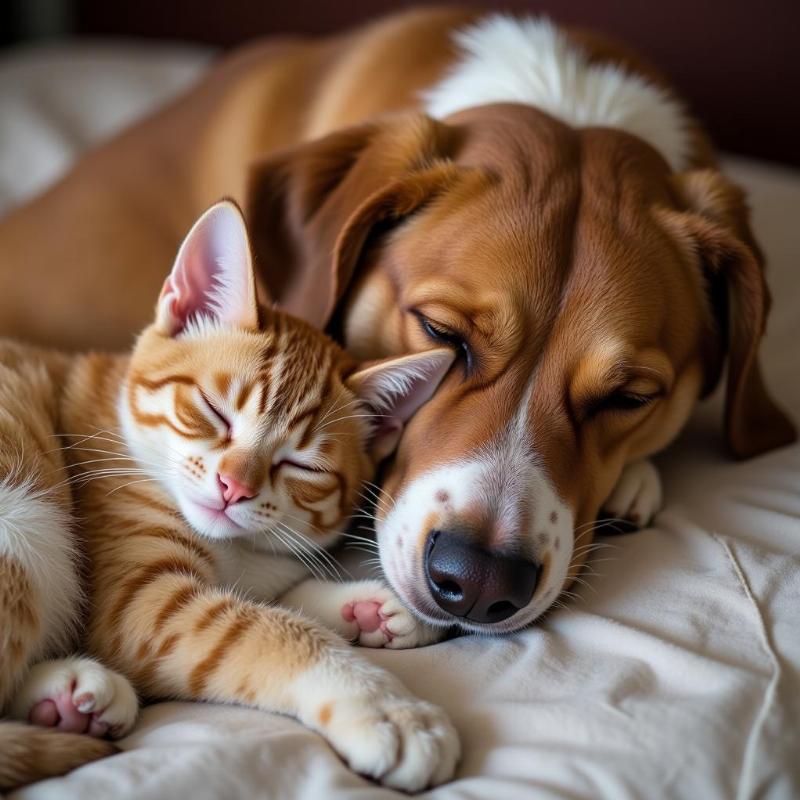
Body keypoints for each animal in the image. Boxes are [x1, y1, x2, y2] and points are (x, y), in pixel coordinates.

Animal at [0, 198, 456, 788]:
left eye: (301, 464)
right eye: (215, 412)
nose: (233, 487)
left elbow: (271, 595)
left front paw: (374, 607)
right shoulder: (140, 602)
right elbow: (264, 629)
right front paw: (388, 708)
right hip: (24, 524)